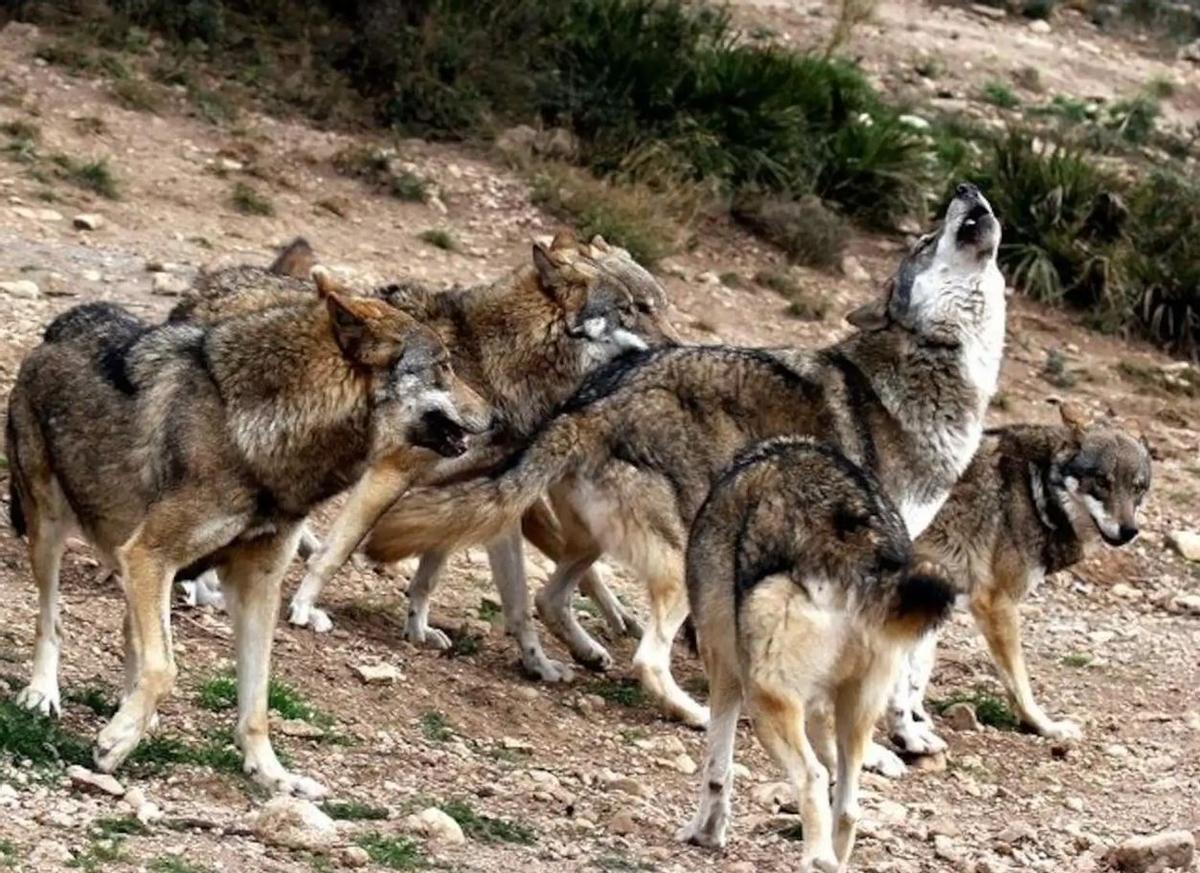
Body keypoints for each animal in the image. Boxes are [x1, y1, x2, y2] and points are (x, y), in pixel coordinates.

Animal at [5, 269, 490, 796]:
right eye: (444, 366)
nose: (497, 417)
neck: (255, 438)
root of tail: (64, 321)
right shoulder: (149, 556)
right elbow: (165, 668)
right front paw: (114, 744)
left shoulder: (255, 582)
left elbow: (256, 698)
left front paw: (271, 773)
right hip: (51, 529)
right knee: (51, 620)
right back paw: (43, 695)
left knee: (129, 632)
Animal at [364, 183, 1006, 731]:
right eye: (926, 242)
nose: (966, 188)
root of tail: (592, 404)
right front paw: (898, 738)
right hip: (675, 558)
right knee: (644, 656)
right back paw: (693, 712)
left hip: (598, 539)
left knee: (547, 595)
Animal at [677, 437, 955, 870]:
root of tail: (862, 549)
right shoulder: (822, 704)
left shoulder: (722, 668)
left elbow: (717, 767)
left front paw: (705, 832)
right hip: (858, 711)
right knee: (848, 805)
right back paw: (833, 859)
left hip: (764, 700)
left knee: (813, 778)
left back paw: (816, 859)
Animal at [888, 402, 1151, 748]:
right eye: (1102, 482)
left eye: (1137, 488)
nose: (1129, 531)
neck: (1036, 490)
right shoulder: (997, 603)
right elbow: (1018, 682)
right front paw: (1044, 726)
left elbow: (918, 670)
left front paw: (915, 720)